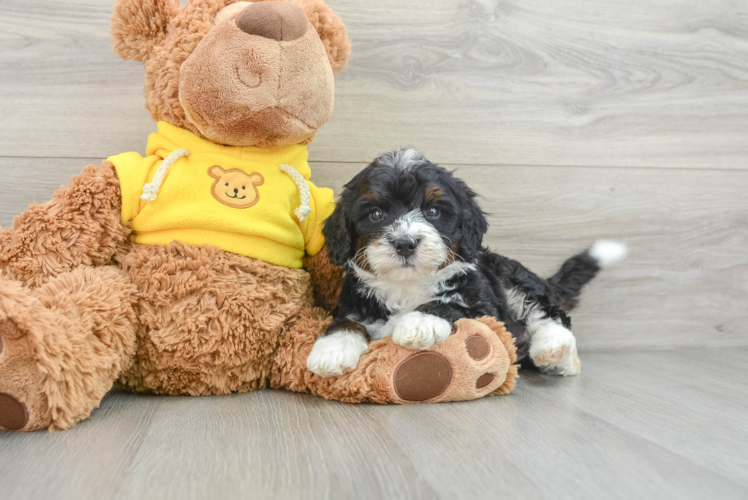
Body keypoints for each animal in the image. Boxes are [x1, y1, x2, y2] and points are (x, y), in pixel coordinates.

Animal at [306, 149, 628, 378]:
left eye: (433, 211)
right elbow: (348, 321)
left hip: (509, 276)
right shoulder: (355, 302)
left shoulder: (483, 305)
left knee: (549, 313)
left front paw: (419, 322)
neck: (407, 286)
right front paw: (331, 350)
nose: (405, 242)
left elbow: (450, 303)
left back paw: (553, 350)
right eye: (375, 214)